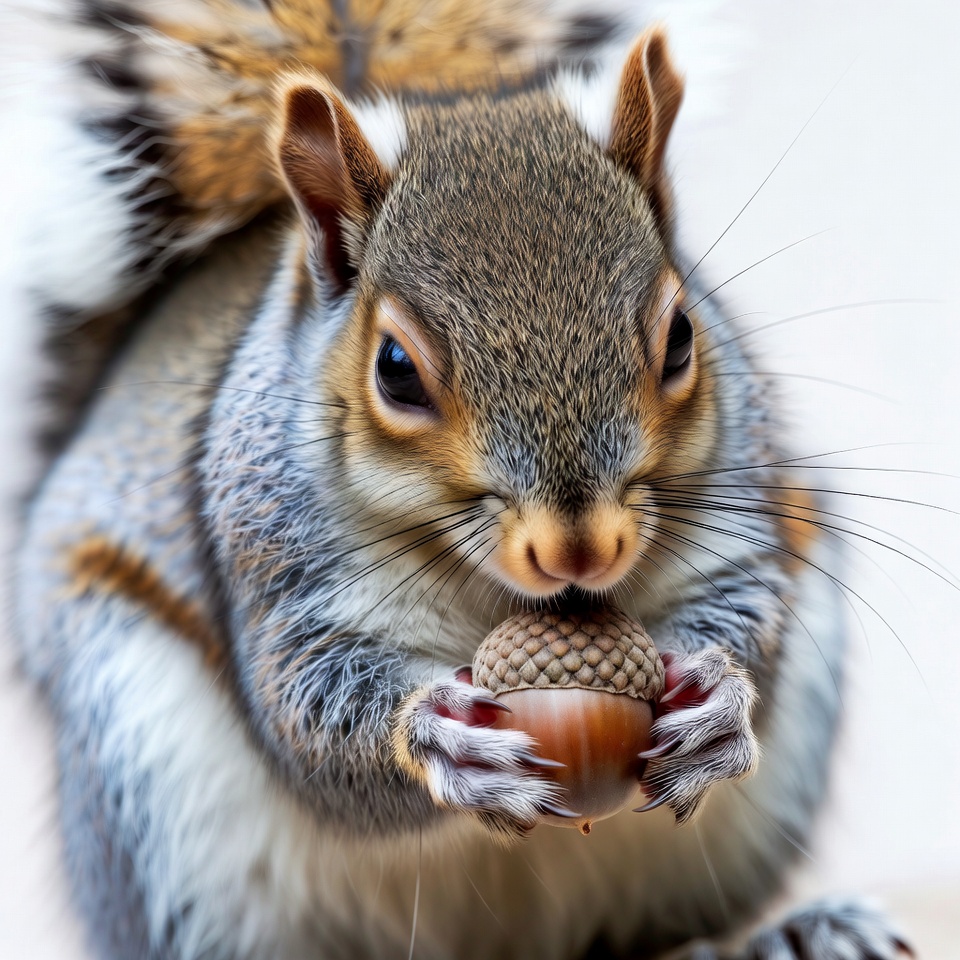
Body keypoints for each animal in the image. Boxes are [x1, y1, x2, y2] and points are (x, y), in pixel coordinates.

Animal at [7, 0, 913, 958]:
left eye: (681, 338)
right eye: (396, 370)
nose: (581, 550)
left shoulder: (734, 508)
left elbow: (747, 608)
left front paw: (718, 703)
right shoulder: (277, 576)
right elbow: (309, 721)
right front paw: (440, 741)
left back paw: (797, 930)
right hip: (147, 767)